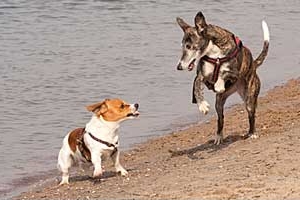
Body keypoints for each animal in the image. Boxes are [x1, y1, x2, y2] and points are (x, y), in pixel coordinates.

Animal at [176, 11, 270, 145]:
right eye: (182, 46)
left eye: (189, 46)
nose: (179, 67)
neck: (214, 53)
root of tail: (253, 64)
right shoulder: (201, 75)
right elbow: (196, 86)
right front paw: (202, 105)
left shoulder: (235, 73)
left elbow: (223, 73)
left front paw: (219, 84)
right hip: (219, 103)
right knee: (221, 119)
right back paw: (219, 137)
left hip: (250, 98)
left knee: (251, 115)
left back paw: (252, 133)